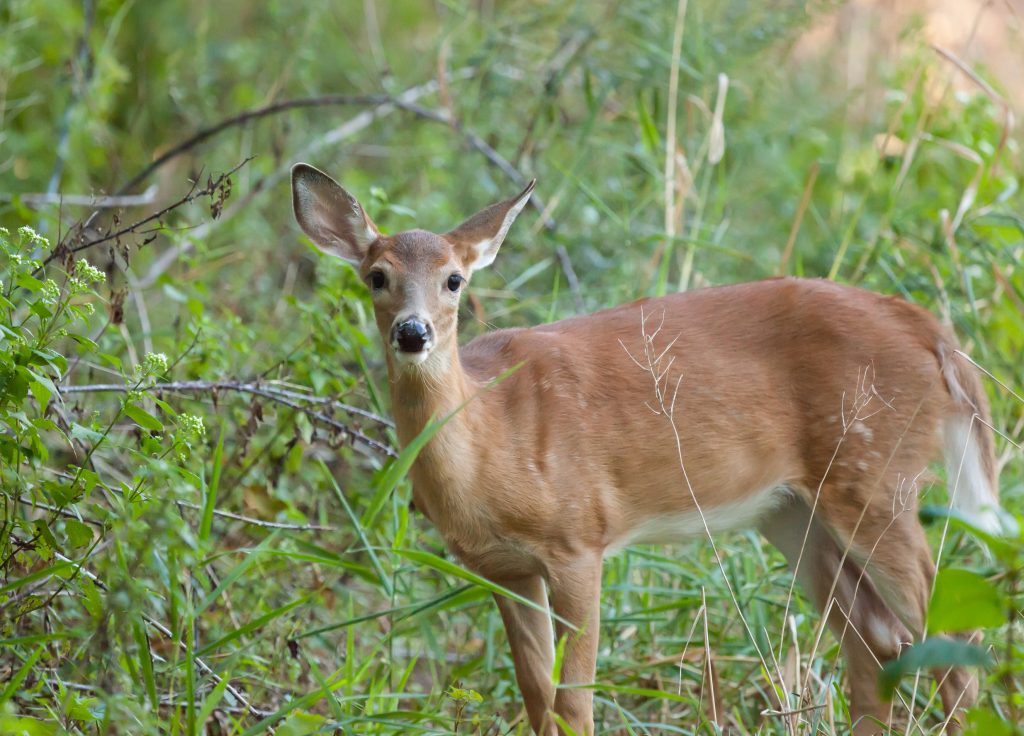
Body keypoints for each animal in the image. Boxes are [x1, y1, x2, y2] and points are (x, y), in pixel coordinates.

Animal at [294, 165, 999, 736]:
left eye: (454, 280)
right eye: (376, 277)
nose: (412, 332)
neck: (494, 443)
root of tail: (933, 333)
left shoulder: (578, 539)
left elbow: (574, 701)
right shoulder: (503, 568)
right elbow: (537, 697)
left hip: (876, 472)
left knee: (953, 641)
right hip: (792, 509)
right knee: (877, 638)